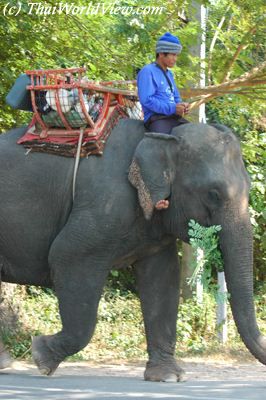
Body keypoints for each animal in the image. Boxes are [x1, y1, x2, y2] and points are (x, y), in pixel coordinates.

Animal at [0, 119, 264, 382]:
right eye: (213, 194)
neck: (158, 138)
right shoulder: (104, 206)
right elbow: (66, 255)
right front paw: (41, 356)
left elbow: (163, 279)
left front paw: (168, 376)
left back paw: (5, 361)